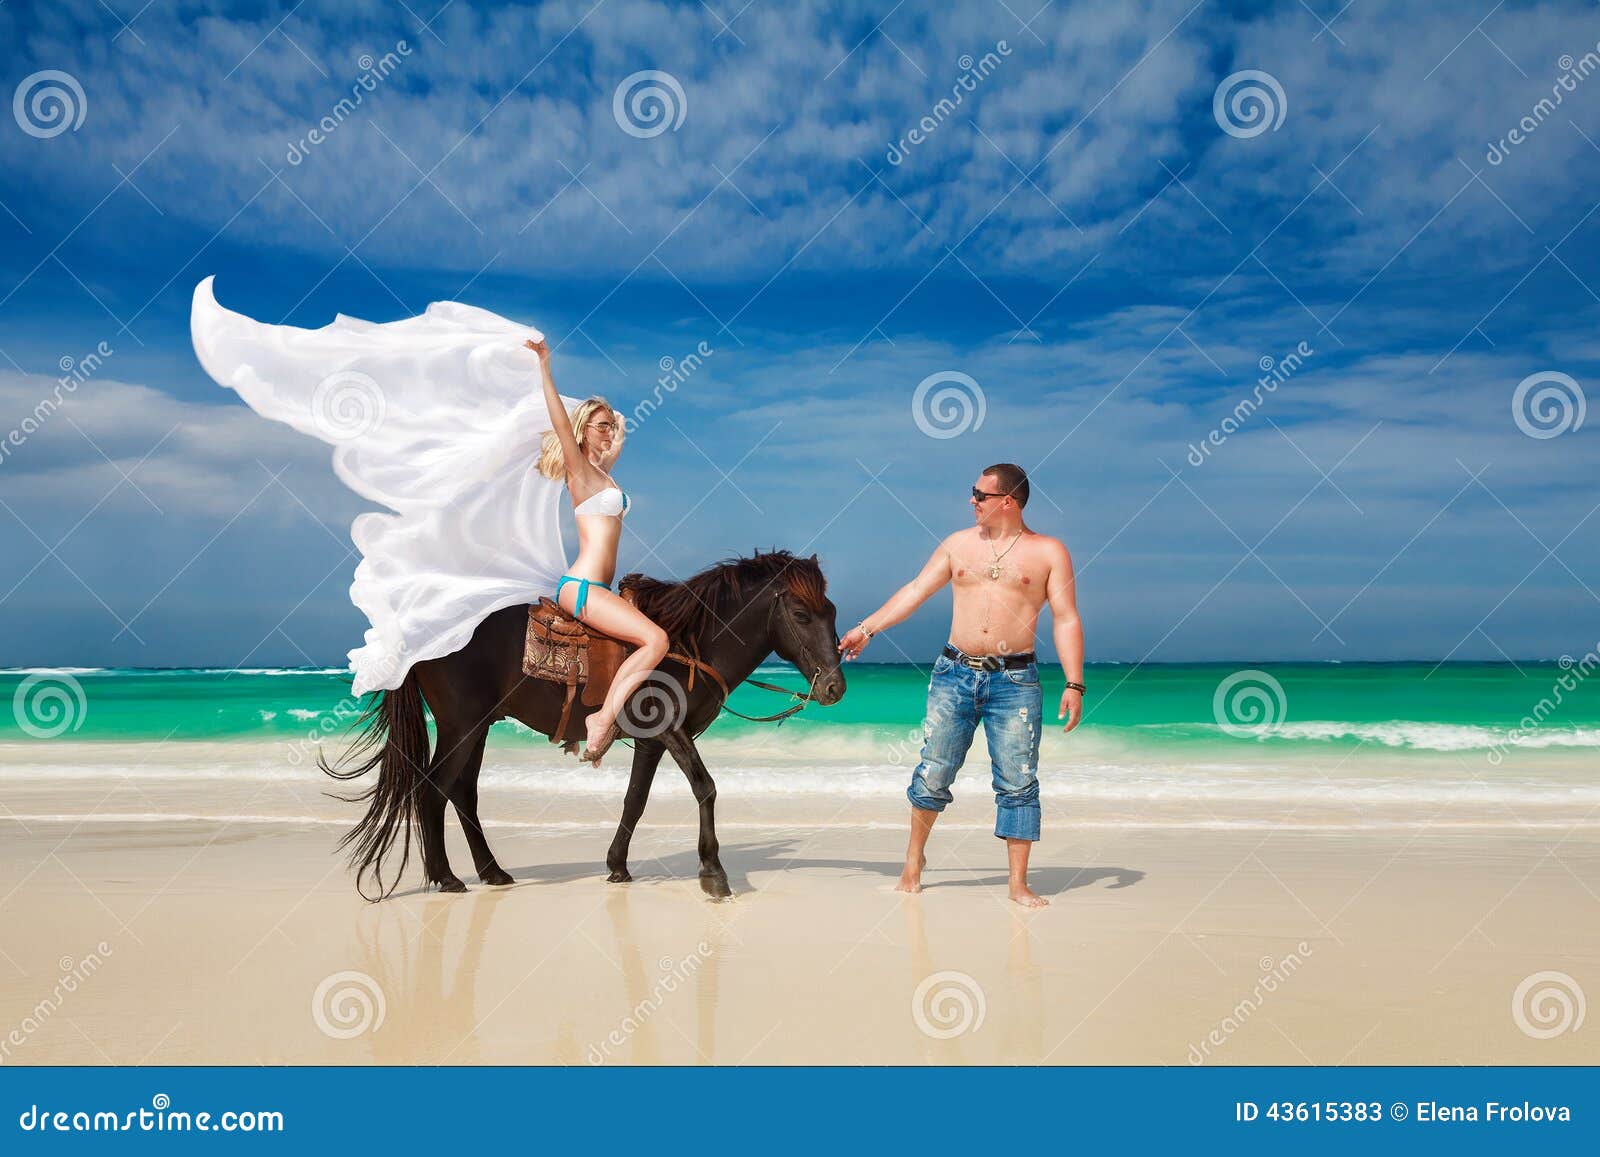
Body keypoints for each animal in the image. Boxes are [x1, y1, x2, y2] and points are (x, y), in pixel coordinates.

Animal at [324, 553, 851, 902]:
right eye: (800, 614)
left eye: (832, 612)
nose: (834, 687)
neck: (686, 644)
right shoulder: (669, 730)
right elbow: (705, 787)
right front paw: (713, 871)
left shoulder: (651, 743)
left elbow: (635, 800)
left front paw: (617, 866)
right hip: (461, 726)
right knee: (432, 790)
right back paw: (447, 877)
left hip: (480, 727)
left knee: (462, 793)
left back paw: (492, 873)